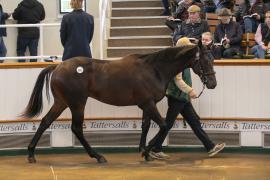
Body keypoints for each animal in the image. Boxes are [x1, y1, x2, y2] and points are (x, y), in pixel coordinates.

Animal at [21, 43, 215, 164]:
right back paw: (98, 156)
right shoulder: (148, 104)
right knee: (76, 128)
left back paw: (31, 153)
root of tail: (58, 67)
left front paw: (144, 152)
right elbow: (163, 125)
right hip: (77, 103)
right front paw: (146, 152)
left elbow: (145, 126)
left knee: (45, 122)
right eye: (204, 61)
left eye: (212, 59)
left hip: (61, 102)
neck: (154, 69)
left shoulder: (147, 104)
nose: (213, 83)